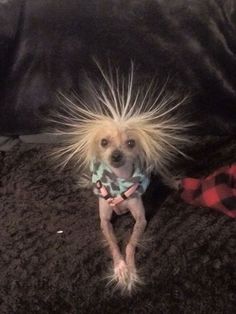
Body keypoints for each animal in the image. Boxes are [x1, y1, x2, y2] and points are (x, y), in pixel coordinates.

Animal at [50, 62, 191, 294]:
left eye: (131, 143)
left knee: (162, 171)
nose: (116, 155)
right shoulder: (105, 221)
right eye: (104, 142)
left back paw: (172, 181)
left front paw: (130, 269)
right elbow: (114, 244)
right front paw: (120, 268)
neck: (117, 183)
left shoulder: (141, 220)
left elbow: (130, 244)